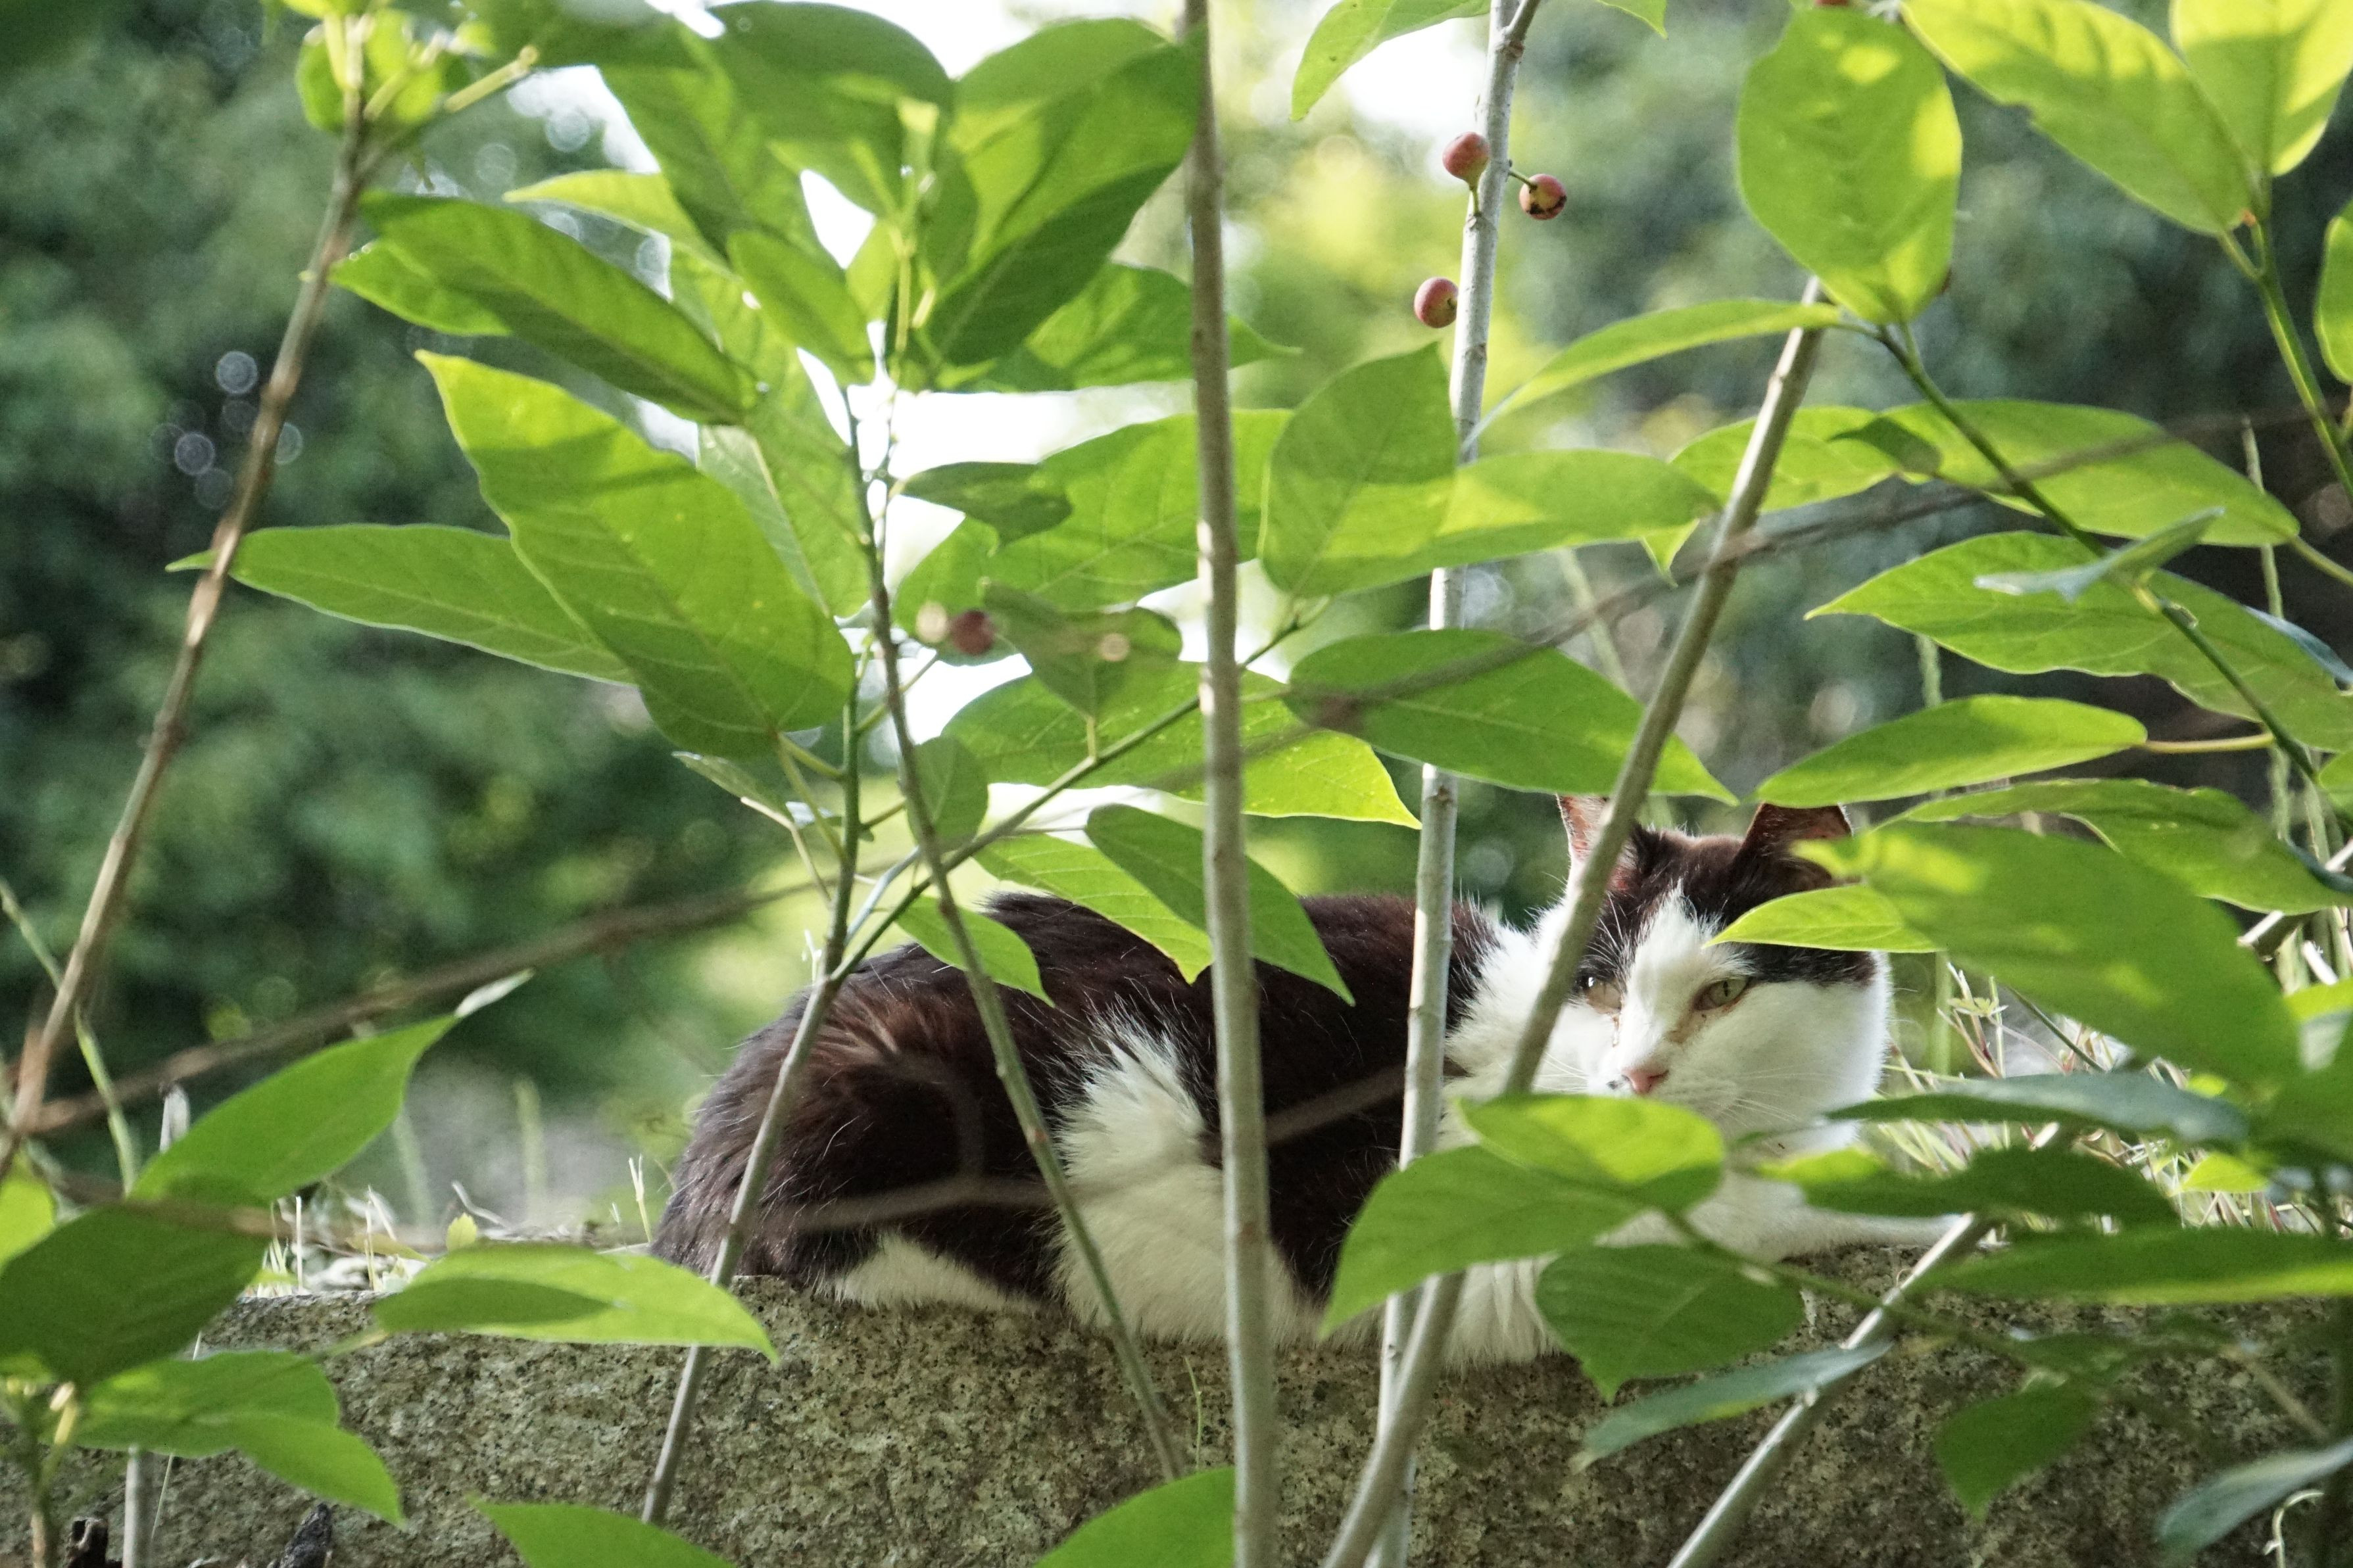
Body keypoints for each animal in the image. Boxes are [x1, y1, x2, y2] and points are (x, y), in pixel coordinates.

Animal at [656, 796, 1937, 1364]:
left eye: (1719, 996)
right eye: (1604, 988)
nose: (1634, 1075)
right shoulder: (1418, 1243)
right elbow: (1746, 1201)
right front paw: (1930, 1190)